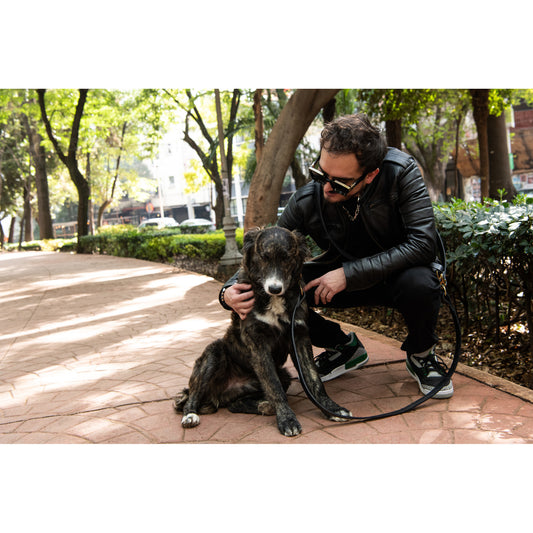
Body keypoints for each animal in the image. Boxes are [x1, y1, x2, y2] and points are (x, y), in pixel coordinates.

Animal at [172, 224, 352, 436]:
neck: (273, 299)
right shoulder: (258, 343)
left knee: (235, 405)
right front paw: (287, 419)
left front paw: (331, 409)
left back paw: (264, 406)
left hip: (282, 375)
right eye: (264, 257)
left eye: (286, 258)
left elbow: (314, 380)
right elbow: (274, 387)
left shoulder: (299, 337)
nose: (274, 288)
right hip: (213, 353)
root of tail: (220, 394)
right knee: (193, 394)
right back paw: (190, 414)